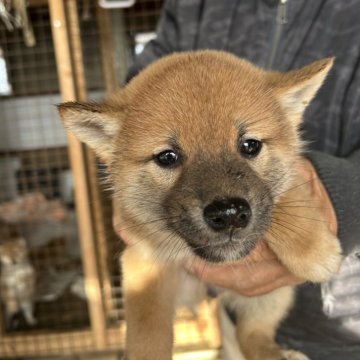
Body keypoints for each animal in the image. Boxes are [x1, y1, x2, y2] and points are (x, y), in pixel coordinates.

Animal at [57, 51, 342, 360]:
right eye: (167, 157)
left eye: (250, 145)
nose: (229, 214)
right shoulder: (143, 267)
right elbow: (147, 334)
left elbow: (286, 194)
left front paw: (314, 250)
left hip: (272, 296)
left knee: (252, 335)